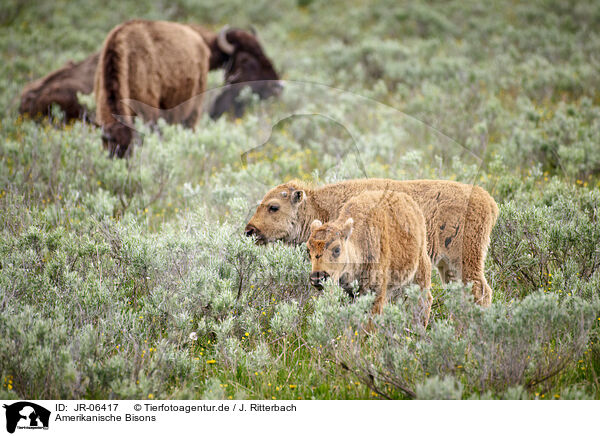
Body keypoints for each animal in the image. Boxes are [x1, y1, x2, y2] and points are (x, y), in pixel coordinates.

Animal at [246, 177, 500, 306]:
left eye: (273, 207)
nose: (250, 230)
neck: (319, 205)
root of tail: (487, 200)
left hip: (465, 258)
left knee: (481, 289)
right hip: (447, 266)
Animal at [308, 191, 434, 328]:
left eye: (337, 249)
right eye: (308, 251)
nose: (317, 278)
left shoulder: (375, 293)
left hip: (420, 272)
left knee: (424, 300)